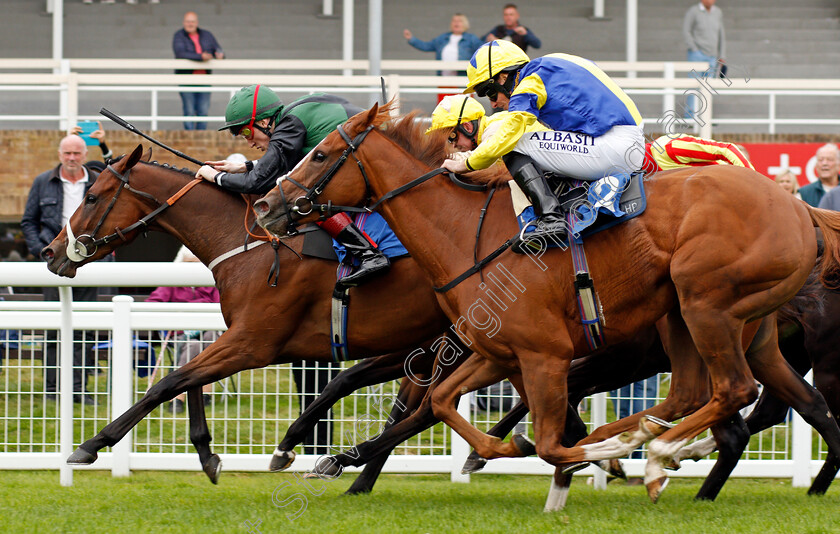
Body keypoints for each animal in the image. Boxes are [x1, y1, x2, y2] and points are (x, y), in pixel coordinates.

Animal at [256, 104, 840, 502]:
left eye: (320, 154)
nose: (265, 204)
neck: (467, 233)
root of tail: (798, 207)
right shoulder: (497, 351)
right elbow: (441, 403)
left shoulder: (544, 356)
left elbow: (547, 438)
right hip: (703, 324)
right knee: (727, 398)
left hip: (705, 307)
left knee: (733, 394)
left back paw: (656, 456)